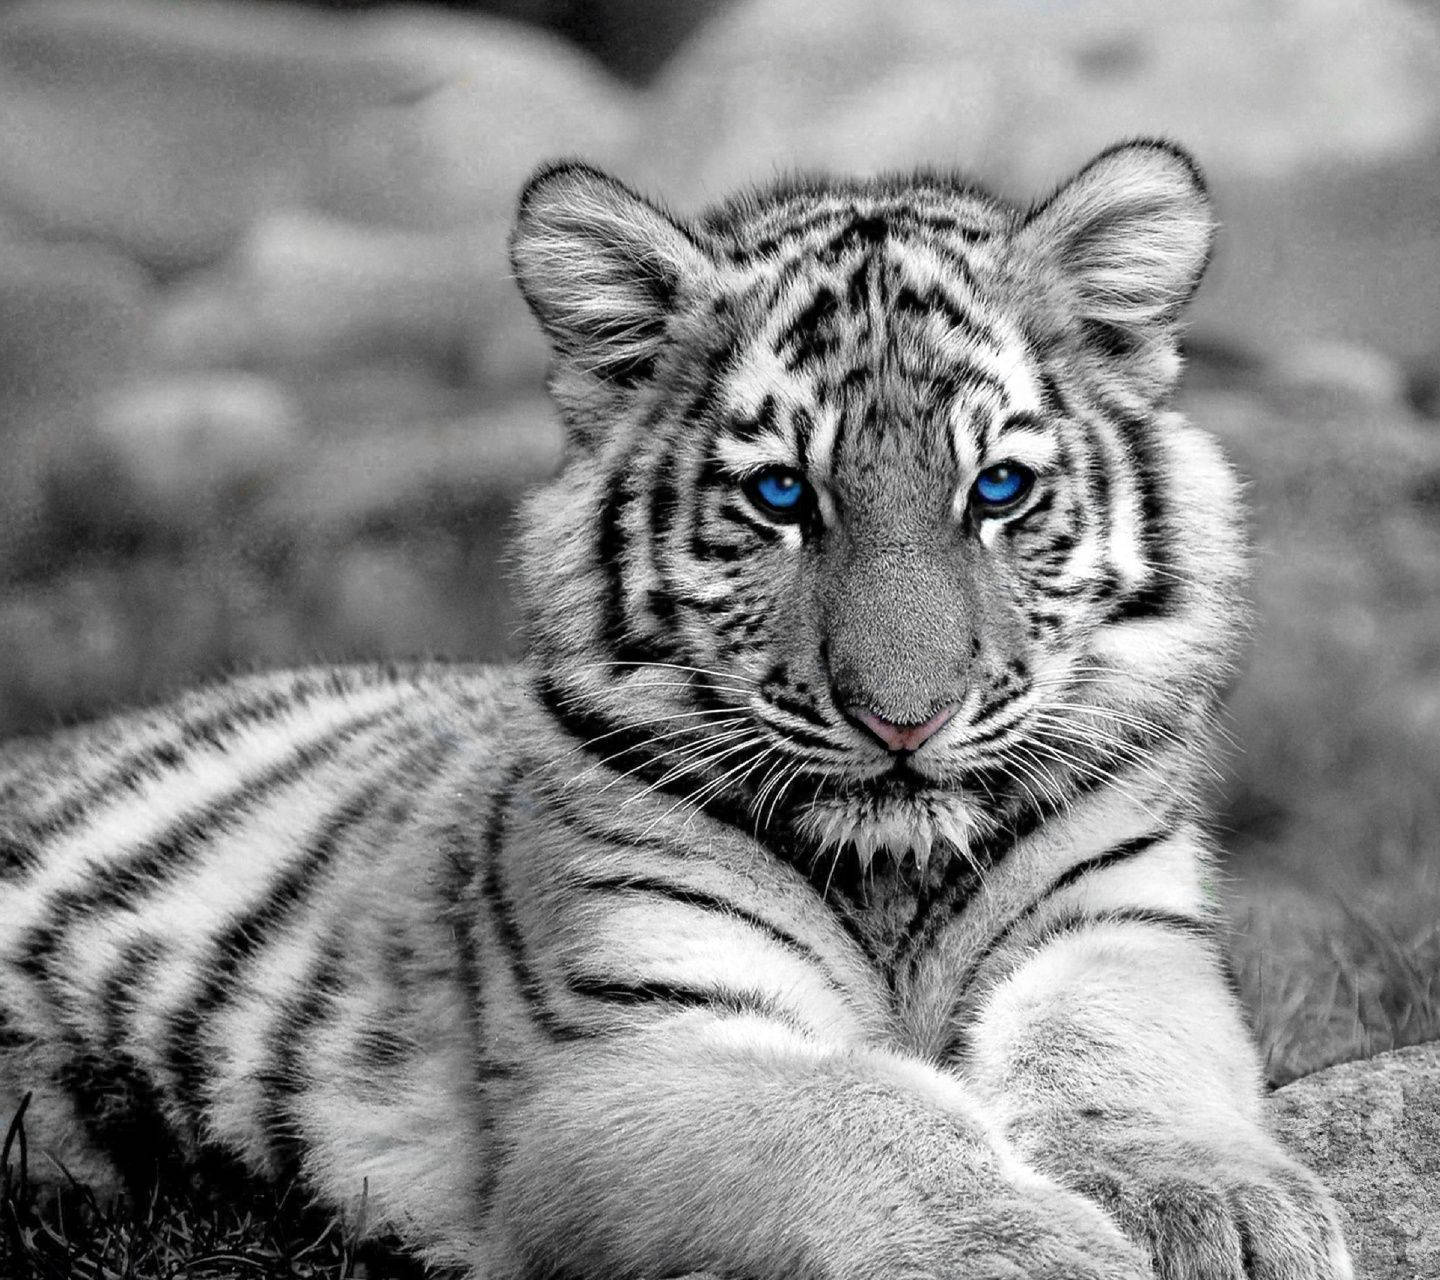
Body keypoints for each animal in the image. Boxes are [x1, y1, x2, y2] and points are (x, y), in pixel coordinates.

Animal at [0, 139, 1351, 1280]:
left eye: (1000, 489)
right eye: (781, 495)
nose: (904, 720)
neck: (892, 879)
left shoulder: (1121, 933)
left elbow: (1119, 1057)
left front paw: (1219, 1206)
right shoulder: (626, 1055)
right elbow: (855, 1109)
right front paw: (1025, 1248)